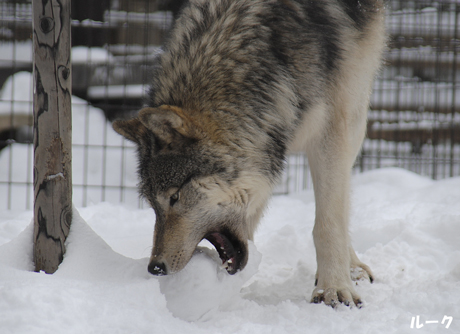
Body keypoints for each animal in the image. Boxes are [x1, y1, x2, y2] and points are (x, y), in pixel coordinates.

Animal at [113, 0, 386, 308]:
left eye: (174, 197)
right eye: (152, 205)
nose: (155, 268)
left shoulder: (330, 132)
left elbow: (328, 221)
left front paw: (334, 288)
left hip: (355, 109)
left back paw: (351, 269)